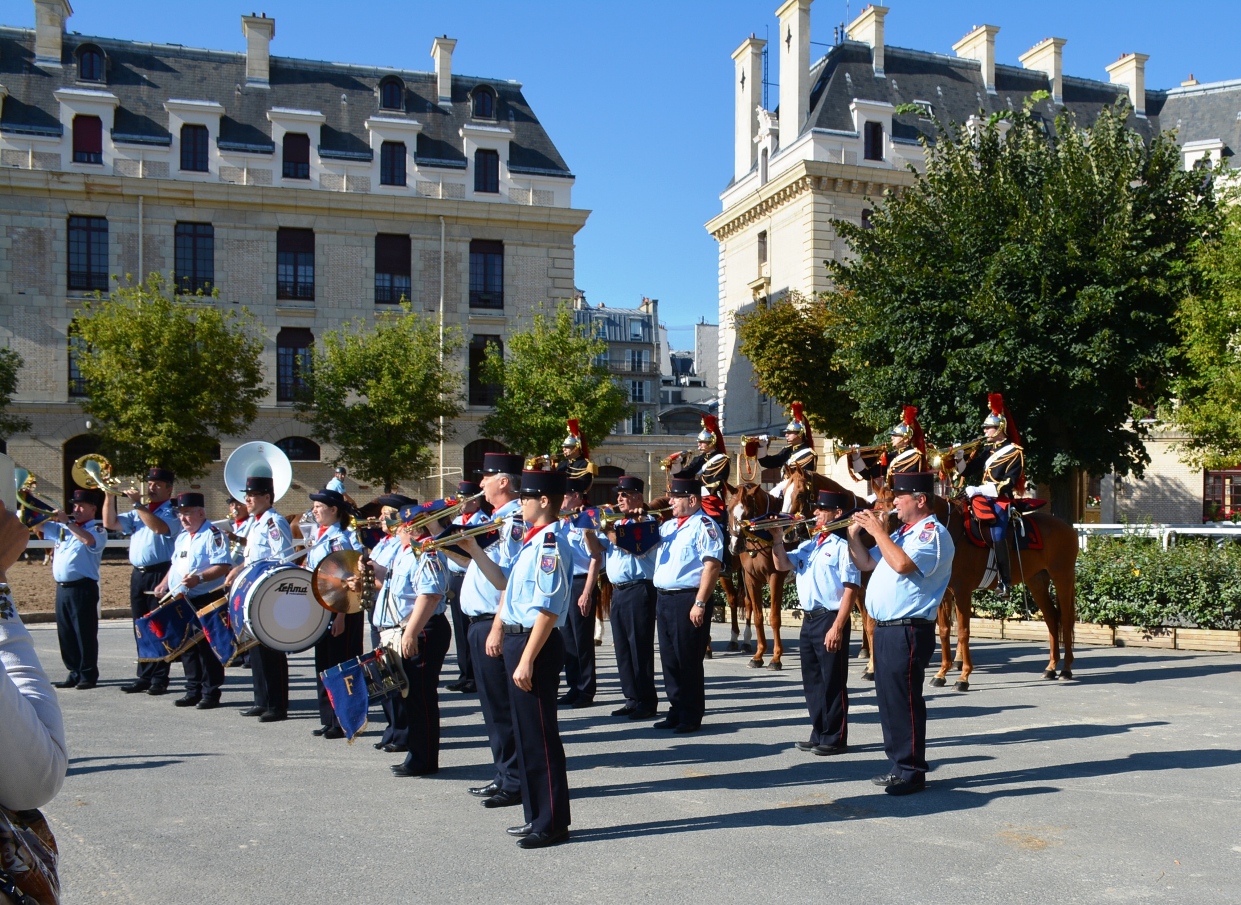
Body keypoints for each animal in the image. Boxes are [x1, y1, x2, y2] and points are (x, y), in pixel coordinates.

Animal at [933, 501, 1082, 685]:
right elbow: (944, 630)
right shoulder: (944, 593)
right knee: (1052, 618)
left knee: (1066, 620)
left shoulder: (962, 592)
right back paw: (1051, 668)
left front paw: (963, 677)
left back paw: (1066, 669)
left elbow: (962, 632)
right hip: (1037, 582)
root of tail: (1068, 527)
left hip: (1063, 577)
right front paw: (941, 674)